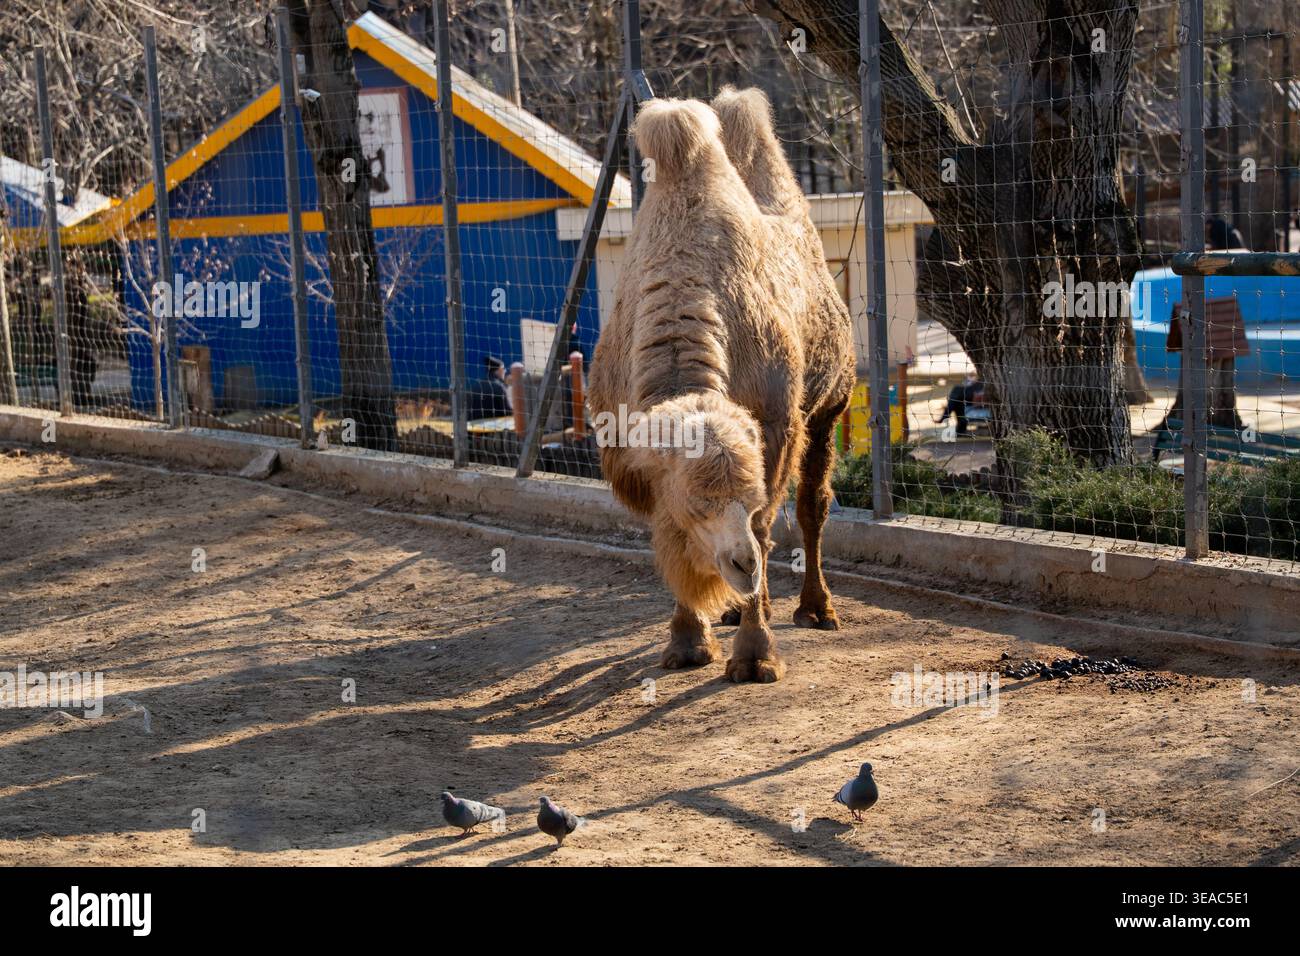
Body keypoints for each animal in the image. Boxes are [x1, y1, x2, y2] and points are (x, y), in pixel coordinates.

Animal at [587, 90, 854, 683]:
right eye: (697, 503)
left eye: (746, 498)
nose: (741, 565)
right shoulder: (635, 454)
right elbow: (669, 536)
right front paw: (688, 642)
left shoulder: (775, 429)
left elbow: (768, 525)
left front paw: (755, 656)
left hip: (831, 406)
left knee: (811, 507)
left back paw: (814, 608)